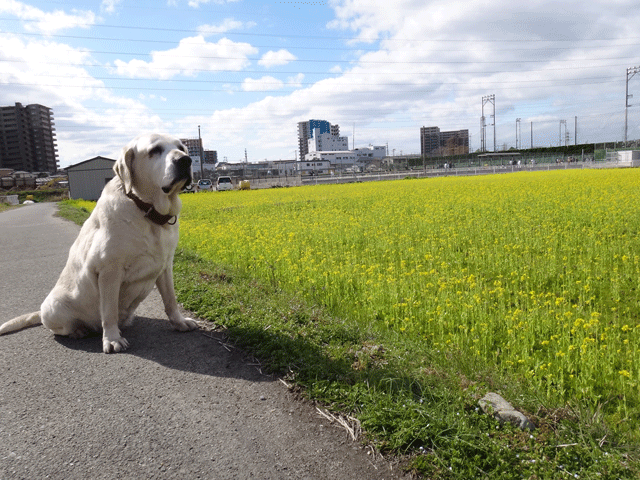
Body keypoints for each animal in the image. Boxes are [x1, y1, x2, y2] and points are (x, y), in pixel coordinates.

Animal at [0, 134, 198, 352]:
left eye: (181, 148)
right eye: (154, 150)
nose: (185, 160)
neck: (147, 210)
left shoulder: (165, 265)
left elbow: (170, 300)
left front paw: (179, 322)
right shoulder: (109, 270)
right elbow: (109, 310)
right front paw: (111, 338)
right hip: (53, 308)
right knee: (62, 328)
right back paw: (79, 331)